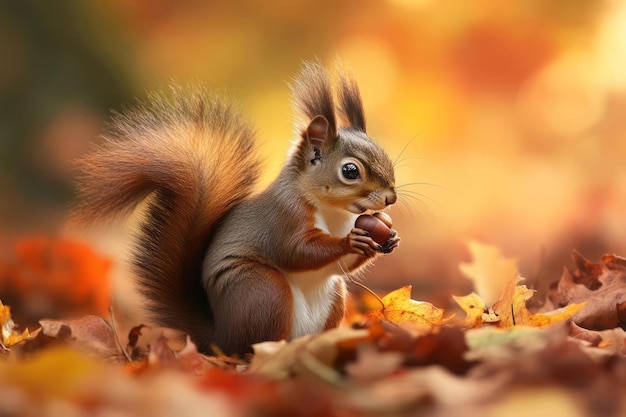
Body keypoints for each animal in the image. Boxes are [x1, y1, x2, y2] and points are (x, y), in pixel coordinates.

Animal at [70, 60, 398, 356]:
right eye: (350, 171)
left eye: (384, 153)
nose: (390, 198)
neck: (333, 212)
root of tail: (218, 338)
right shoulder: (283, 217)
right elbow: (296, 251)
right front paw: (350, 241)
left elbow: (342, 265)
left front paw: (389, 237)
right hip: (263, 291)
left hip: (332, 297)